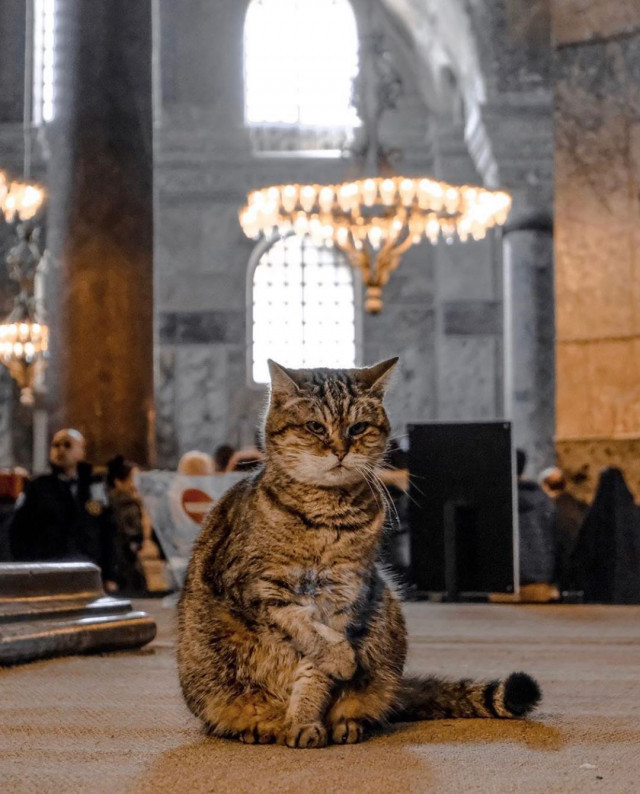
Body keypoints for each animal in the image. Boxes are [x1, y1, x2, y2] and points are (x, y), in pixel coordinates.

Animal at [176, 356, 540, 744]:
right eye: (315, 427)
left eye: (358, 427)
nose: (340, 449)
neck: (326, 521)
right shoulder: (257, 585)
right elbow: (304, 628)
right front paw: (336, 665)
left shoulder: (347, 590)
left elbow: (315, 670)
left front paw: (306, 717)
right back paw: (259, 726)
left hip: (386, 616)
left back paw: (346, 723)